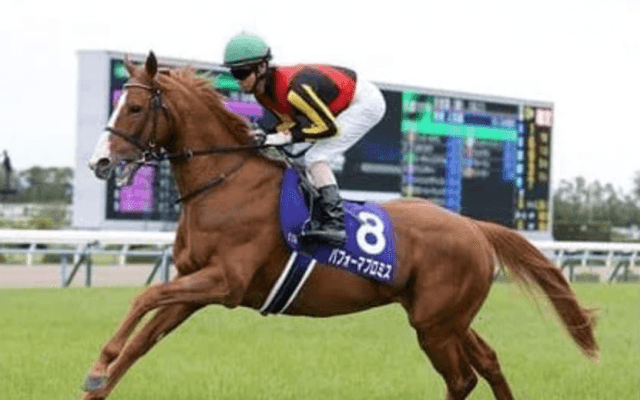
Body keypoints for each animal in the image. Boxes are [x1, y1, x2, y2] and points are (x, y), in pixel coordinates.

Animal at [84, 51, 598, 400]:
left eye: (133, 108)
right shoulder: (195, 287)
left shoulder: (224, 281)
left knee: (462, 378)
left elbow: (144, 297)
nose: (100, 162)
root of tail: (474, 227)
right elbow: (143, 337)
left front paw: (99, 364)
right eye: (115, 105)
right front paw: (99, 381)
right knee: (488, 362)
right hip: (445, 317)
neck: (225, 182)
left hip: (435, 322)